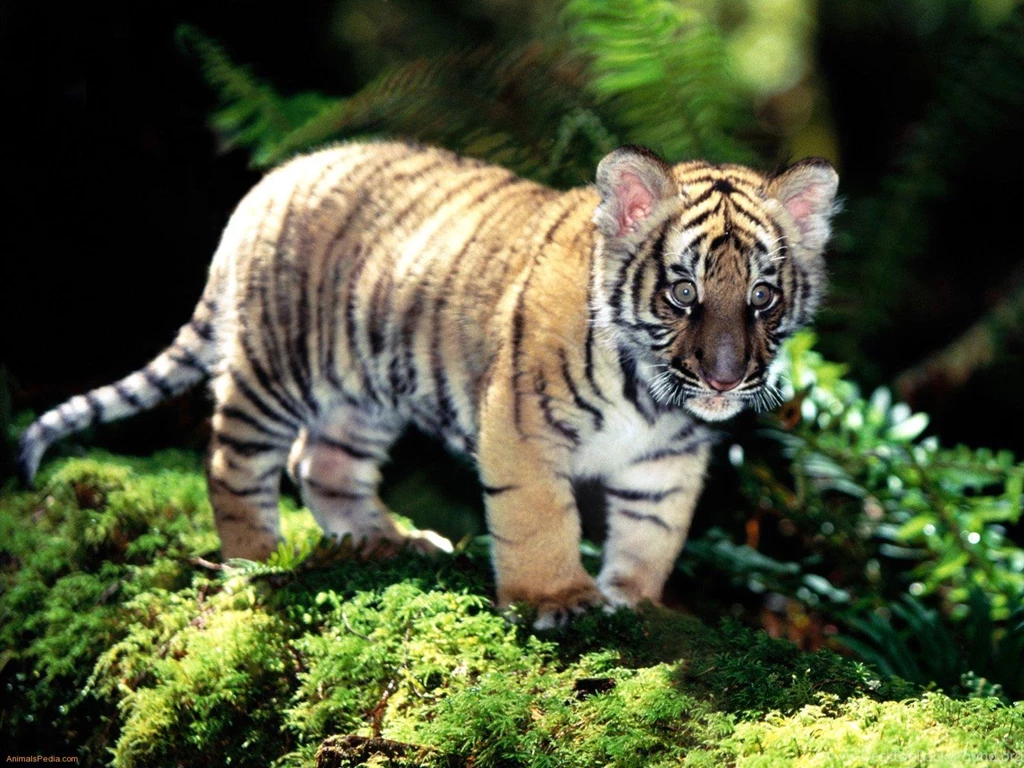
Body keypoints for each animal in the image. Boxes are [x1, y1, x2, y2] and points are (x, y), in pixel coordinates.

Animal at [18, 140, 838, 627]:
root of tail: (271, 181)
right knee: (232, 460)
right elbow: (540, 520)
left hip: (364, 392)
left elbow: (652, 532)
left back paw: (385, 540)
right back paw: (259, 556)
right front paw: (555, 600)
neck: (653, 396)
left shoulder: (667, 461)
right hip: (277, 368)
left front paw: (632, 600)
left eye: (762, 297)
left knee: (320, 463)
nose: (726, 376)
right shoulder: (520, 430)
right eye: (682, 294)